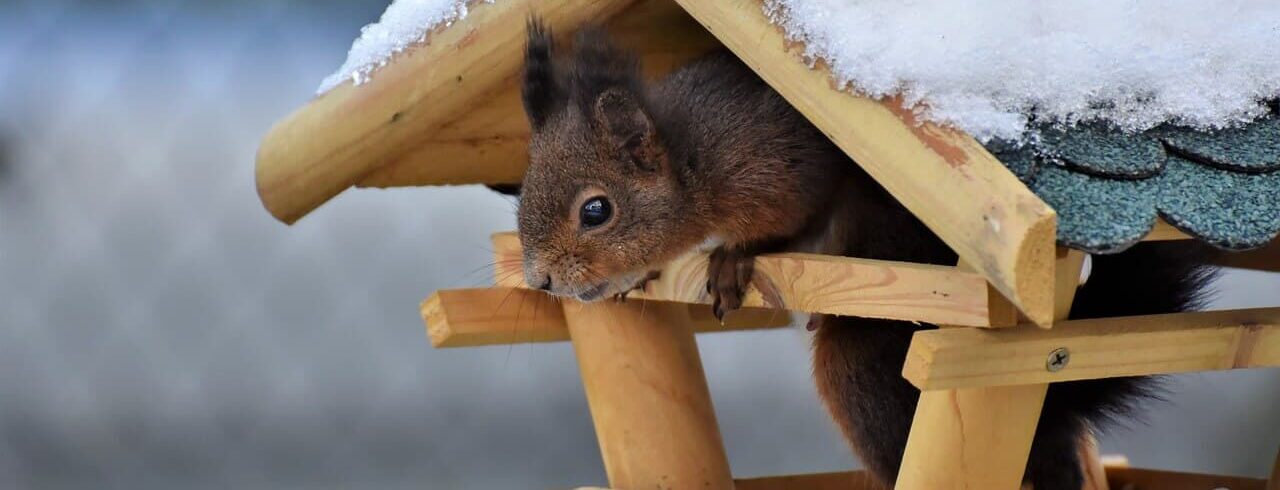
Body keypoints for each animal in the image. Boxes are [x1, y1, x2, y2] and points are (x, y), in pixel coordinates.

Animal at [501, 22, 1218, 490]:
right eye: (523, 192)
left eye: (597, 211)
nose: (542, 278)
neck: (691, 160)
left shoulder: (778, 167)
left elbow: (788, 222)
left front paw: (735, 258)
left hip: (866, 353)